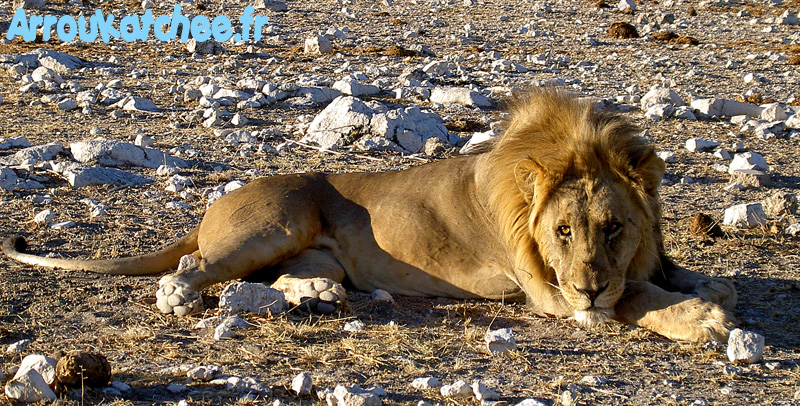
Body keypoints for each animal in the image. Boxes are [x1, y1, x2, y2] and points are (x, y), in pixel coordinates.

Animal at [1, 88, 736, 342]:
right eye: (562, 232)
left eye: (613, 228)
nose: (589, 284)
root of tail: (217, 201)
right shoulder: (551, 294)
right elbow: (633, 296)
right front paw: (703, 318)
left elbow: (661, 275)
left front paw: (705, 287)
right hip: (274, 222)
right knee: (191, 266)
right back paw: (182, 294)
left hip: (299, 248)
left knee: (269, 279)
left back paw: (322, 294)